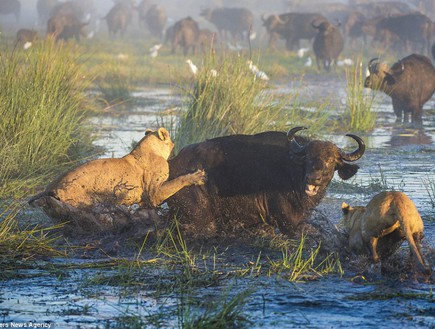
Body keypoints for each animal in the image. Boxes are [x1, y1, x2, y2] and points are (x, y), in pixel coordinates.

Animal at [167, 127, 364, 237]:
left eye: (331, 160)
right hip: (200, 217)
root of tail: (173, 165)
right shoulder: (289, 223)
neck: (293, 173)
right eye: (308, 157)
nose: (312, 178)